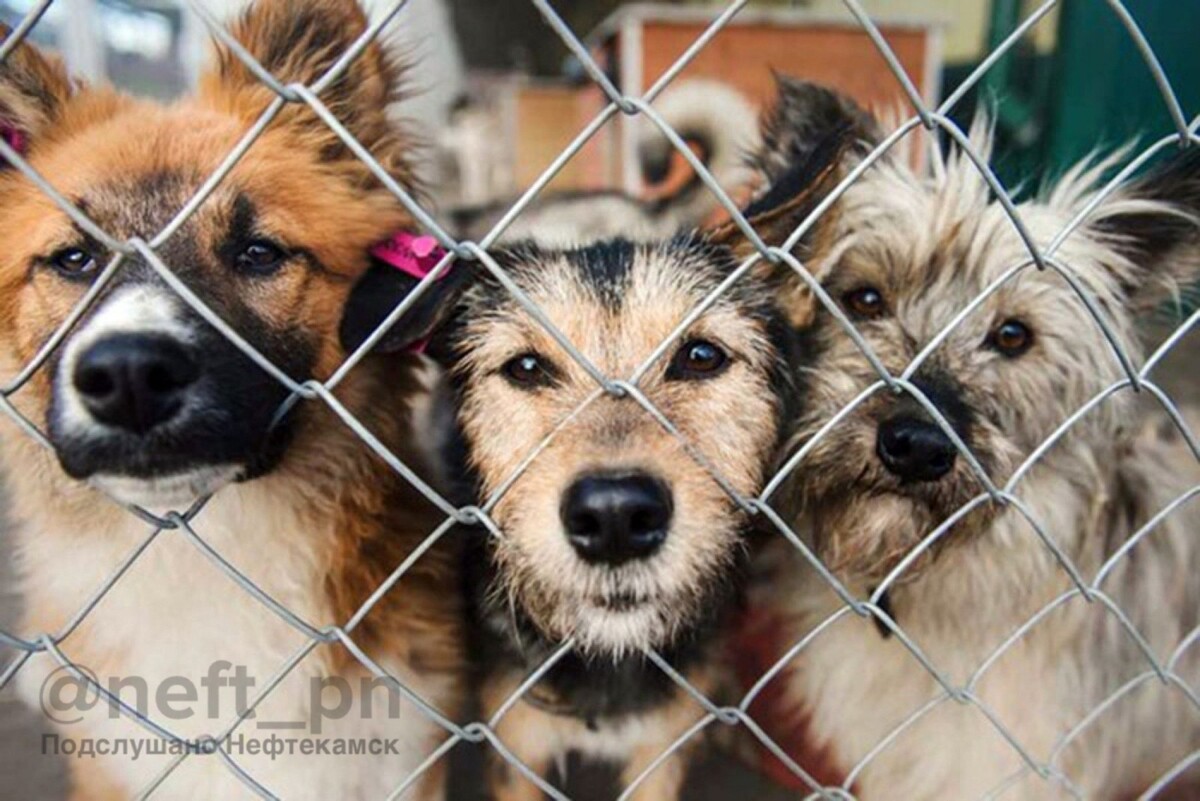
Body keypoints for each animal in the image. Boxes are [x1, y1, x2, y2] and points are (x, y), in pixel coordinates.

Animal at [344, 234, 801, 799]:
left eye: (701, 356)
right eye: (525, 367)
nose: (615, 517)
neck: (604, 662)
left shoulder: (664, 748)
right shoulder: (516, 745)